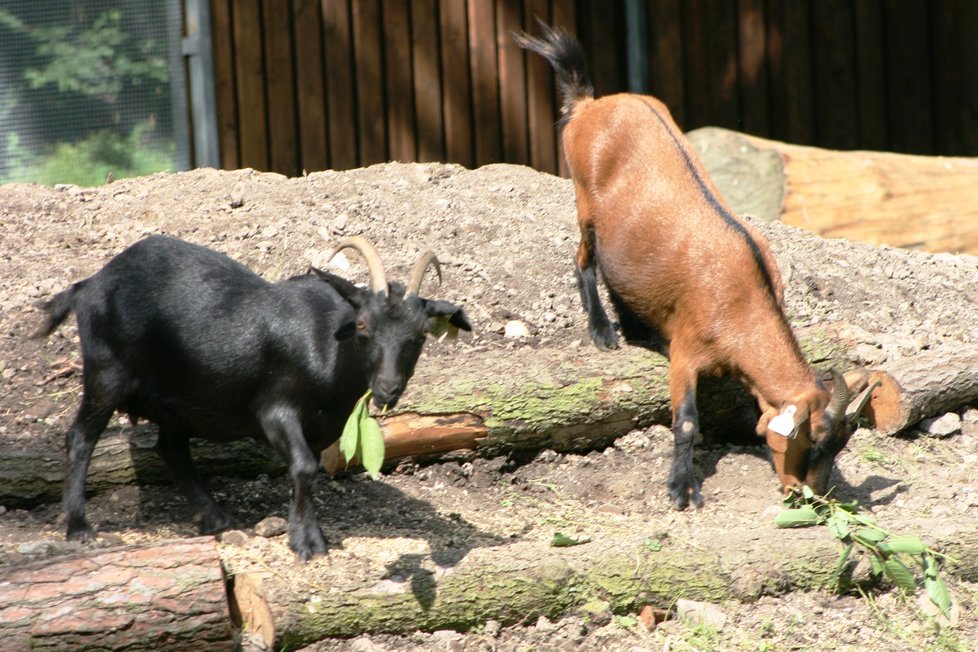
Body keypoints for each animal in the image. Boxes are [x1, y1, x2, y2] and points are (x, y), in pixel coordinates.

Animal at [34, 236, 468, 560]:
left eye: (421, 333)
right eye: (363, 325)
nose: (388, 388)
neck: (325, 344)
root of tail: (89, 285)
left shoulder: (319, 427)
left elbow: (305, 470)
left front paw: (304, 530)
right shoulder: (275, 411)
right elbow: (304, 467)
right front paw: (308, 543)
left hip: (178, 399)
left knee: (170, 448)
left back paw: (216, 518)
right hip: (105, 372)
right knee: (81, 438)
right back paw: (79, 526)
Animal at [516, 21, 864, 510]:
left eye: (838, 447)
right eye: (809, 442)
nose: (810, 496)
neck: (743, 298)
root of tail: (588, 104)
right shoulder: (686, 352)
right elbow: (685, 420)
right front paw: (682, 489)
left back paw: (637, 329)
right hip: (584, 202)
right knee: (583, 259)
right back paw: (603, 332)